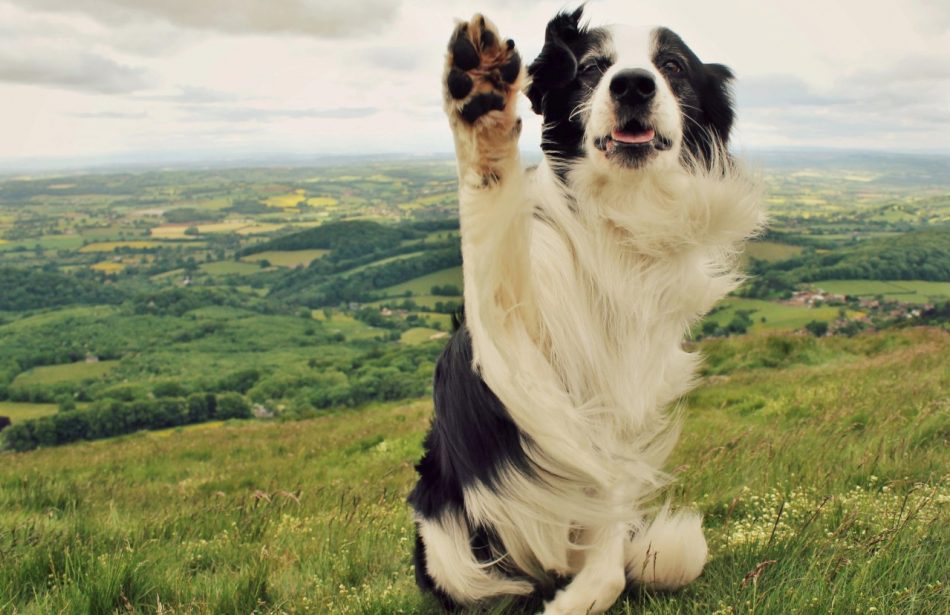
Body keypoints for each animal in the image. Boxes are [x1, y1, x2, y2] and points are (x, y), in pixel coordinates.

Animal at [410, 7, 768, 612]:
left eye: (672, 66)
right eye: (594, 67)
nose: (633, 85)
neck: (617, 222)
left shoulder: (623, 416)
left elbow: (610, 562)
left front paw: (577, 597)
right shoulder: (514, 351)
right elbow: (492, 251)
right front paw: (481, 102)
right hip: (450, 548)